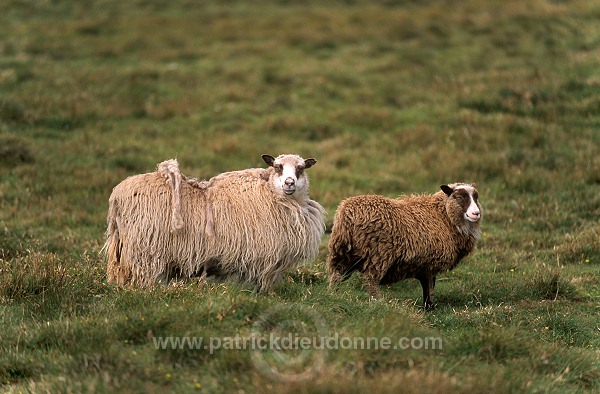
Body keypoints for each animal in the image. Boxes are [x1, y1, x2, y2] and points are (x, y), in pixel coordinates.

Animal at [104, 154, 328, 292]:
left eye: (300, 168)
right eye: (278, 167)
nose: (289, 183)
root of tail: (117, 195)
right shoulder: (263, 257)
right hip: (145, 251)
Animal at [328, 183, 482, 310]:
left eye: (476, 197)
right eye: (459, 197)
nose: (476, 213)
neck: (442, 215)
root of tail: (348, 213)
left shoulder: (423, 265)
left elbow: (426, 286)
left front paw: (427, 308)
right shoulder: (431, 263)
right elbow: (430, 287)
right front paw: (430, 308)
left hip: (341, 250)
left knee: (336, 275)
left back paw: (334, 295)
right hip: (378, 254)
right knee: (370, 280)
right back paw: (379, 302)